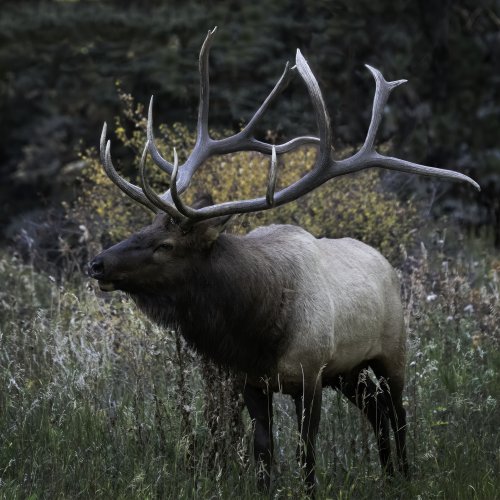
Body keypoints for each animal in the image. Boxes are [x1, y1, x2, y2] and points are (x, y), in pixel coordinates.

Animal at [88, 28, 478, 496]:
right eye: (143, 227)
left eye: (165, 245)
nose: (97, 264)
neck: (257, 331)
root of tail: (385, 262)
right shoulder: (251, 381)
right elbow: (262, 452)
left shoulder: (310, 374)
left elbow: (306, 454)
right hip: (348, 372)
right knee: (376, 413)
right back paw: (387, 474)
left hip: (392, 351)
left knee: (398, 413)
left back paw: (404, 474)